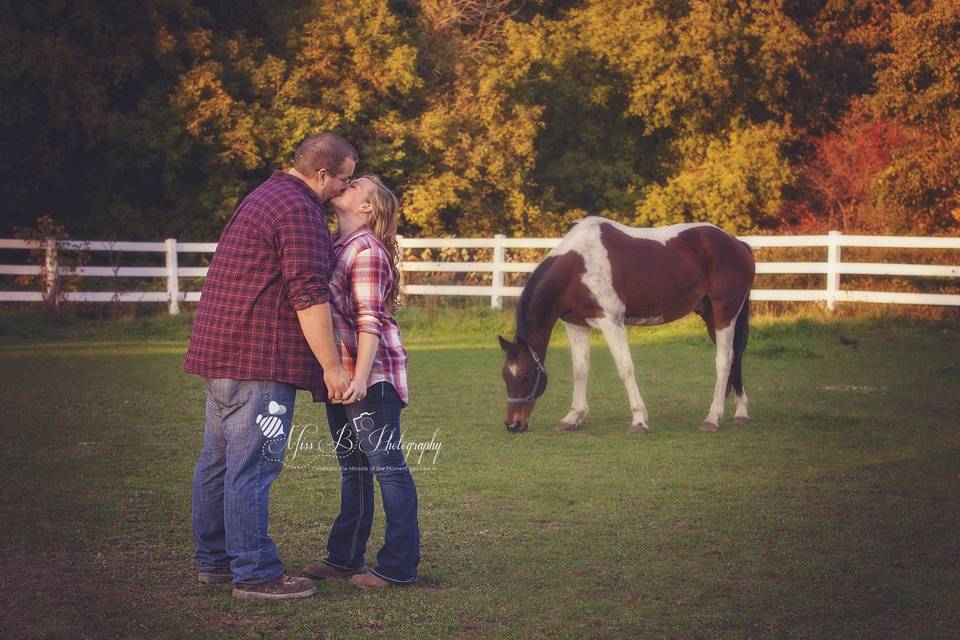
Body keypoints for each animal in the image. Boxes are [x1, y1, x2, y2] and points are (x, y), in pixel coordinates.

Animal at [498, 219, 752, 436]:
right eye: (505, 377)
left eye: (526, 378)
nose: (513, 424)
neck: (578, 268)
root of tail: (738, 244)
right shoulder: (575, 324)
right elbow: (580, 370)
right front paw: (572, 417)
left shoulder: (611, 321)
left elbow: (625, 369)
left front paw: (639, 421)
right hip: (711, 315)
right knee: (735, 357)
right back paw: (740, 414)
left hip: (725, 312)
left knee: (724, 360)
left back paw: (712, 418)